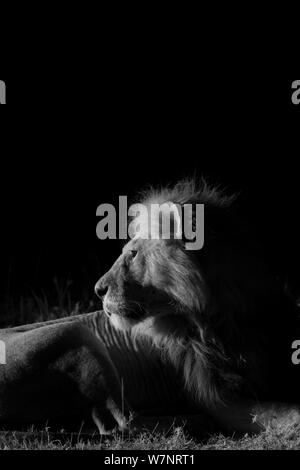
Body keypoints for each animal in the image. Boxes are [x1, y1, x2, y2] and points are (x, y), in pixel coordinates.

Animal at [0, 178, 300, 436]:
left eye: (133, 254)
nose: (97, 290)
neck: (217, 321)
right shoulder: (219, 399)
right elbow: (287, 414)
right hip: (75, 334)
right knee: (124, 421)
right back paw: (192, 421)